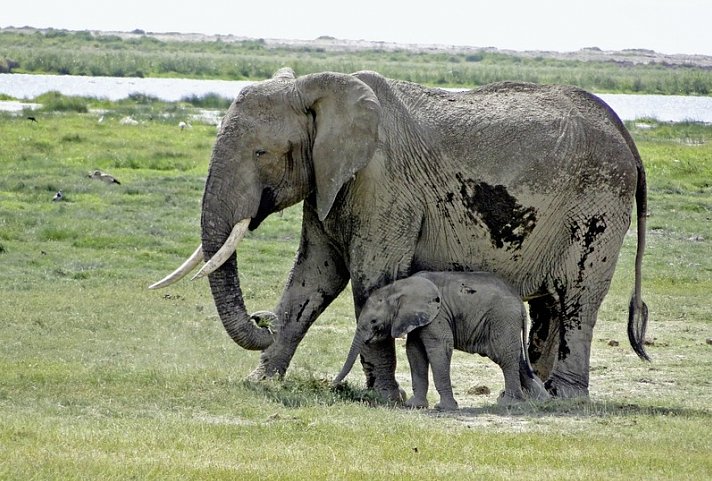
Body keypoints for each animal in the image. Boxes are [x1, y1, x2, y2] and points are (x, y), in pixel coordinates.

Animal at [336, 270, 552, 408]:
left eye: (374, 321)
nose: (333, 384)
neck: (397, 288)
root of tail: (520, 303)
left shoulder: (437, 315)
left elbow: (438, 349)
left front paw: (445, 408)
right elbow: (414, 352)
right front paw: (415, 406)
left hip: (502, 319)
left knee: (506, 358)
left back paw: (509, 403)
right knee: (519, 360)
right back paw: (540, 401)